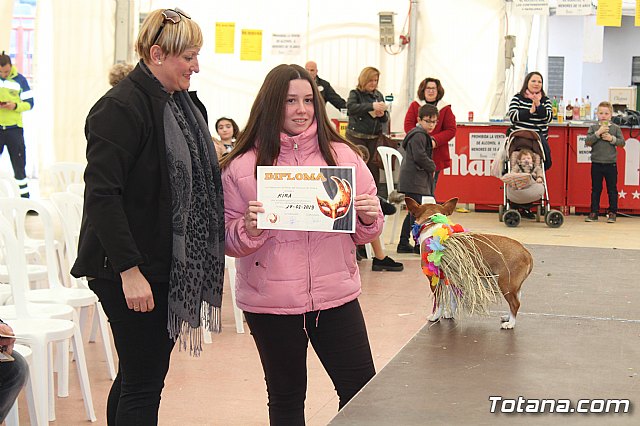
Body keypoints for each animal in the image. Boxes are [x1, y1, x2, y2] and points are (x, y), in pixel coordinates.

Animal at [404, 197, 536, 330]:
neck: (433, 225)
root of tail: (526, 252)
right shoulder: (453, 279)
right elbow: (453, 300)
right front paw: (450, 314)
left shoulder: (434, 280)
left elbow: (438, 302)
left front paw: (435, 316)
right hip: (514, 286)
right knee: (516, 300)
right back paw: (508, 317)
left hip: (506, 283)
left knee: (515, 303)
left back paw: (510, 323)